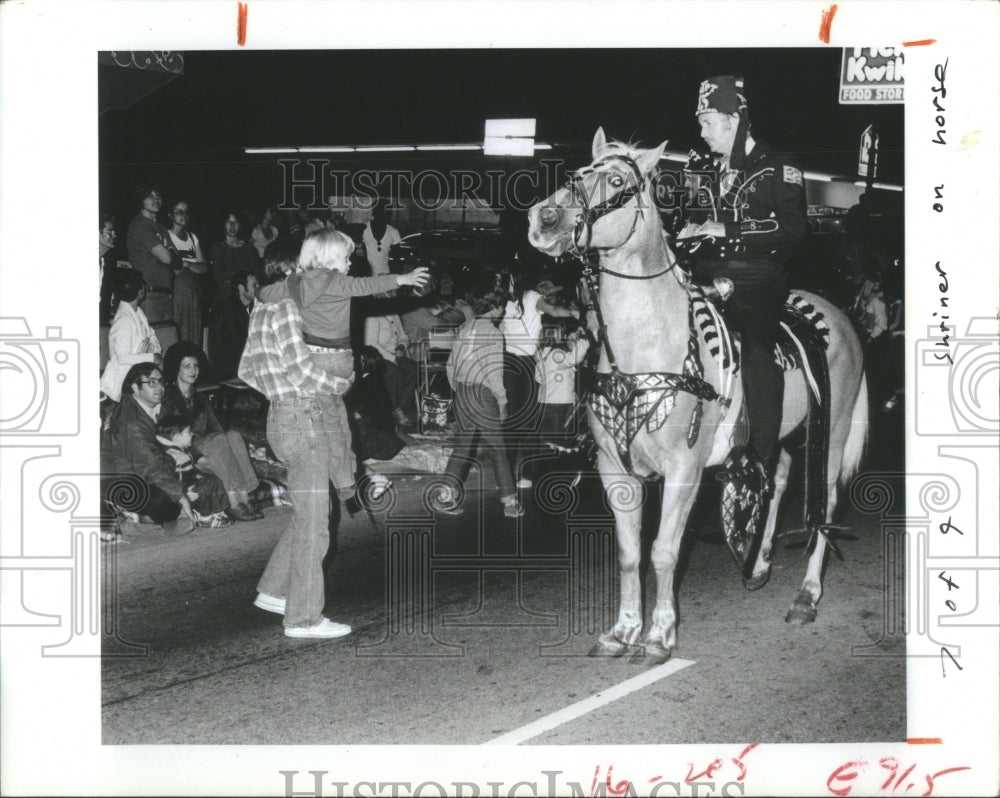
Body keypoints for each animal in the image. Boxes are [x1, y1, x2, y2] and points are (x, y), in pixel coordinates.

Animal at [528, 131, 864, 664]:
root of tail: (836, 313)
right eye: (579, 171)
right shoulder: (614, 467)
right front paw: (622, 630)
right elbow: (630, 553)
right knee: (779, 480)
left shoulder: (683, 470)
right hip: (780, 432)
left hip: (832, 429)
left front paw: (659, 636)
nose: (544, 219)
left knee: (826, 503)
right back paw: (760, 564)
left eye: (617, 180)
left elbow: (664, 550)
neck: (646, 348)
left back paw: (807, 596)